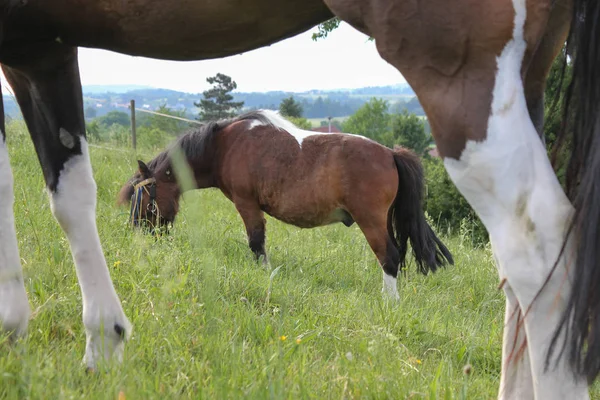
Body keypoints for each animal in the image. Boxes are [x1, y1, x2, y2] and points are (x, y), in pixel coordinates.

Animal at [117, 108, 454, 296]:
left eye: (143, 201)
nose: (139, 236)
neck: (224, 146)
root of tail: (391, 154)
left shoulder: (247, 204)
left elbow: (256, 243)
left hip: (370, 221)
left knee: (390, 257)